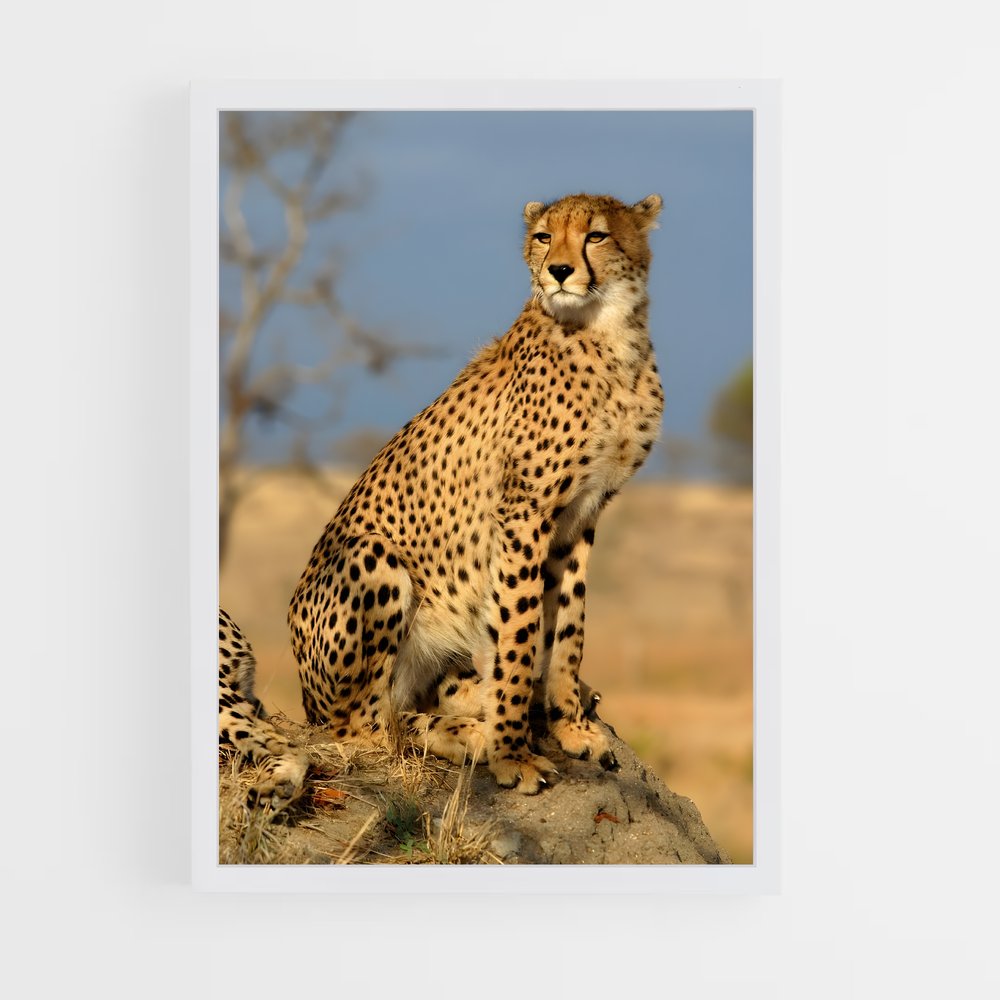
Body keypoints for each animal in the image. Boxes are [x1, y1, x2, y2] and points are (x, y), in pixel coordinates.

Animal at [282, 192, 666, 795]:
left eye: (597, 235)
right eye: (542, 236)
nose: (559, 271)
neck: (609, 335)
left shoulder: (581, 515)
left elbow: (568, 627)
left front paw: (571, 726)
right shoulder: (524, 512)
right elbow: (520, 630)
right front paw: (513, 754)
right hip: (372, 558)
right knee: (370, 729)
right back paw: (471, 733)